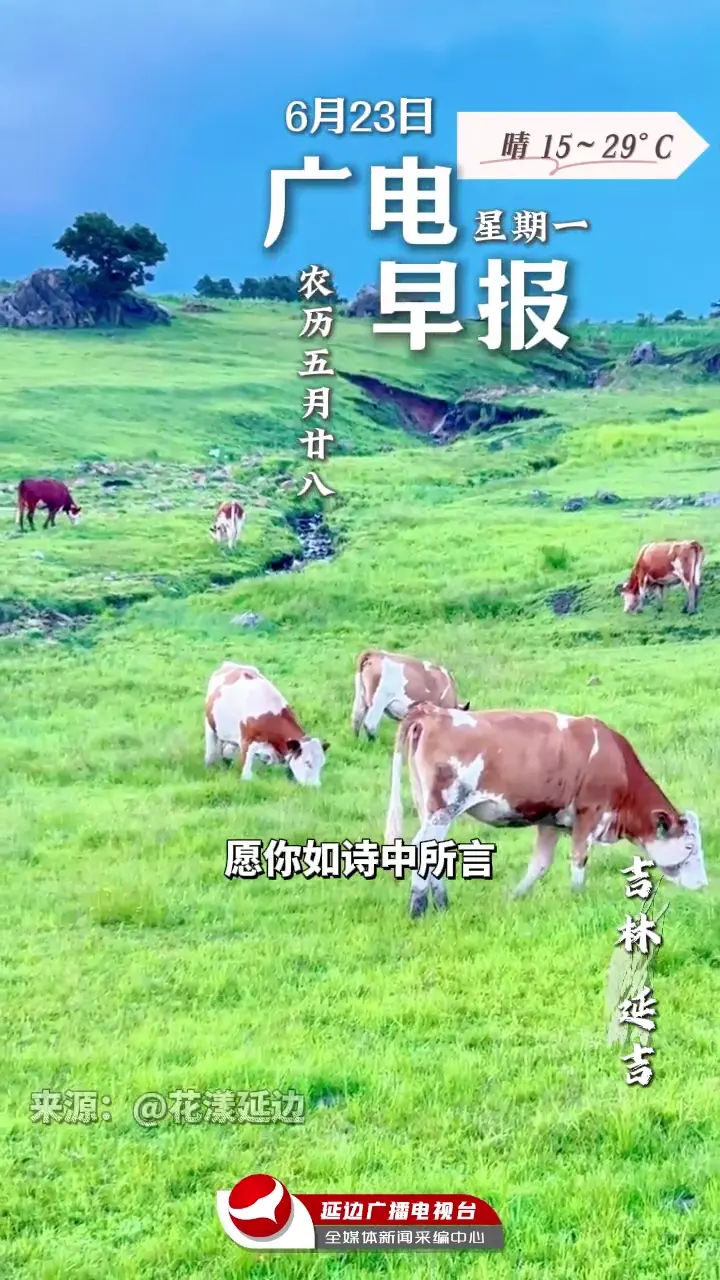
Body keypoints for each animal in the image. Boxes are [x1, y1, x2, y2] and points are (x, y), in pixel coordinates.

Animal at [384, 704, 707, 918]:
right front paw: (578, 896)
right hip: (443, 807)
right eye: (689, 846)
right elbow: (578, 858)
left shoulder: (550, 820)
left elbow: (539, 864)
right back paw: (418, 908)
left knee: (434, 850)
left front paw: (514, 897)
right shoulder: (589, 812)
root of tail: (432, 712)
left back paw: (441, 903)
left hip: (431, 808)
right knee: (422, 846)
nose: (704, 884)